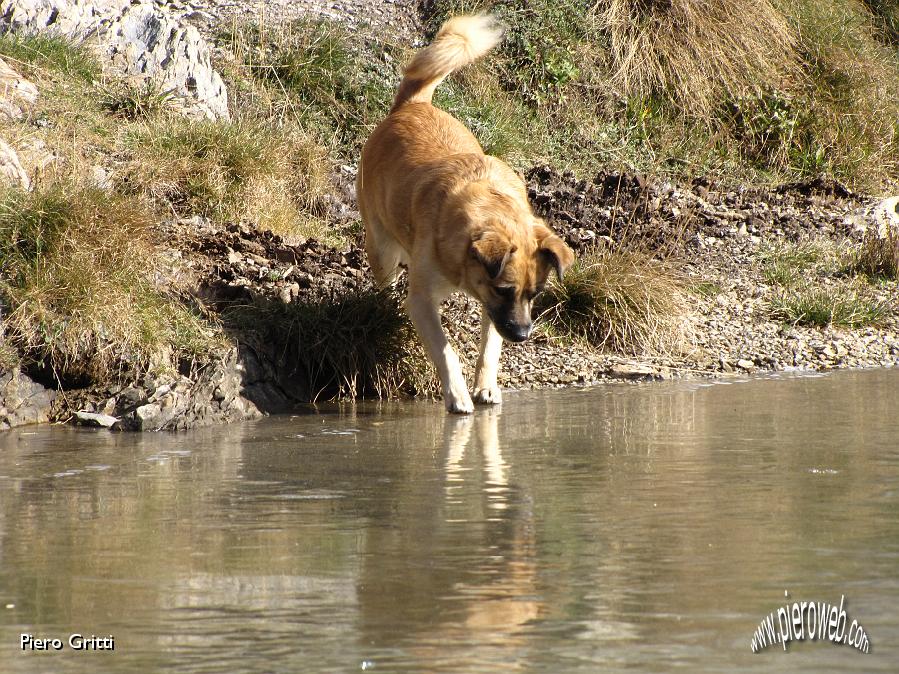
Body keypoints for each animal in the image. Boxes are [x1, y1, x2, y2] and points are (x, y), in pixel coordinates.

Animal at [356, 15, 572, 412]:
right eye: (504, 289)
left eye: (535, 294)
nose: (522, 335)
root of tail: (411, 105)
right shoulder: (424, 302)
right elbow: (446, 351)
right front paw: (456, 393)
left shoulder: (494, 310)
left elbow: (489, 347)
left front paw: (486, 386)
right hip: (382, 247)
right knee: (385, 279)